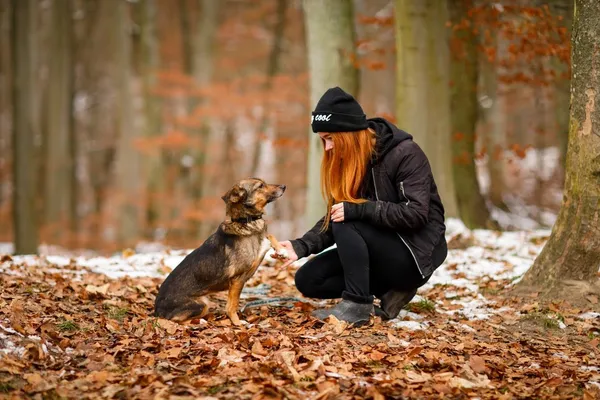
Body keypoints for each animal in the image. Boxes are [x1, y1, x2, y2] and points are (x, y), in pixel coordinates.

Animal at [154, 178, 288, 324]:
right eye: (261, 186)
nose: (284, 186)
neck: (245, 220)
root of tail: (157, 311)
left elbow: (271, 236)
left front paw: (282, 250)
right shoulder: (237, 280)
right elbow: (232, 306)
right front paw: (237, 323)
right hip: (202, 303)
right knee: (178, 321)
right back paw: (201, 321)